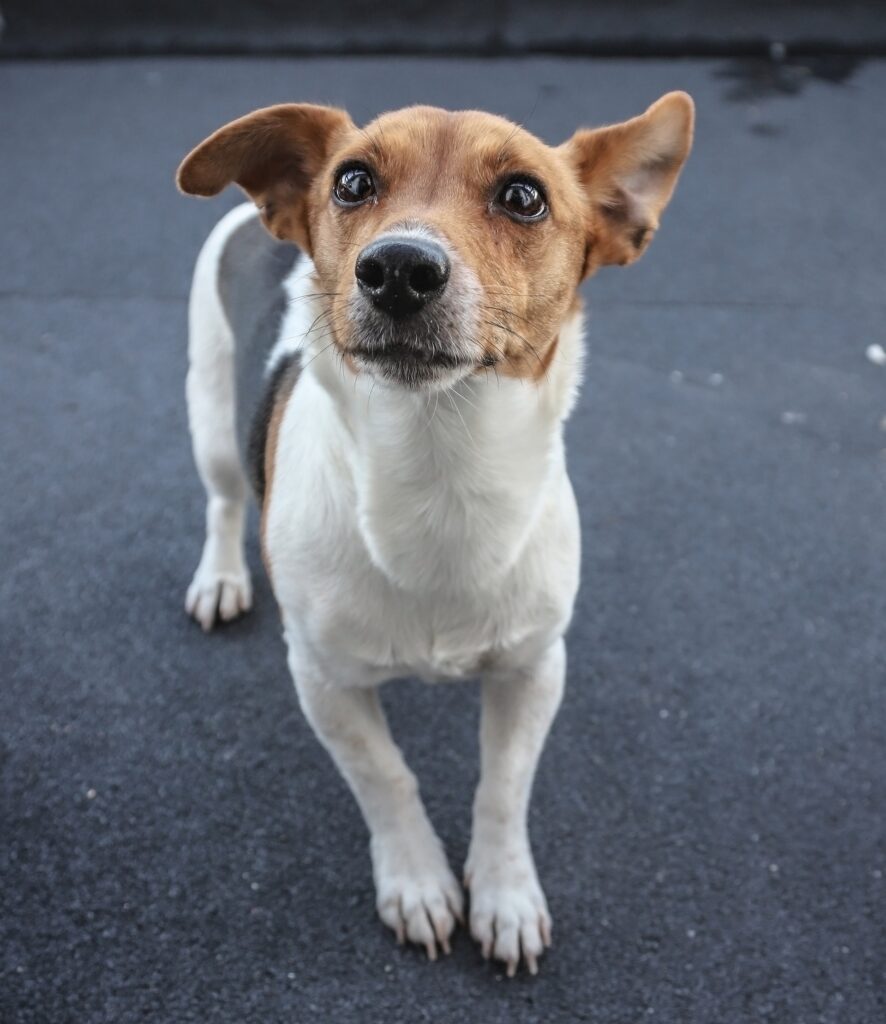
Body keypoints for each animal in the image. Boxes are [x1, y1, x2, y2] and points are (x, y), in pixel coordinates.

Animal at [176, 96, 696, 974]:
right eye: (353, 182)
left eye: (523, 196)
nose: (397, 268)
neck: (439, 476)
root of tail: (251, 217)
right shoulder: (322, 679)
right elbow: (385, 778)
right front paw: (417, 882)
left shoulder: (534, 667)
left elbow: (503, 787)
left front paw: (505, 894)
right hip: (211, 412)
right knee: (222, 499)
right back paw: (220, 577)